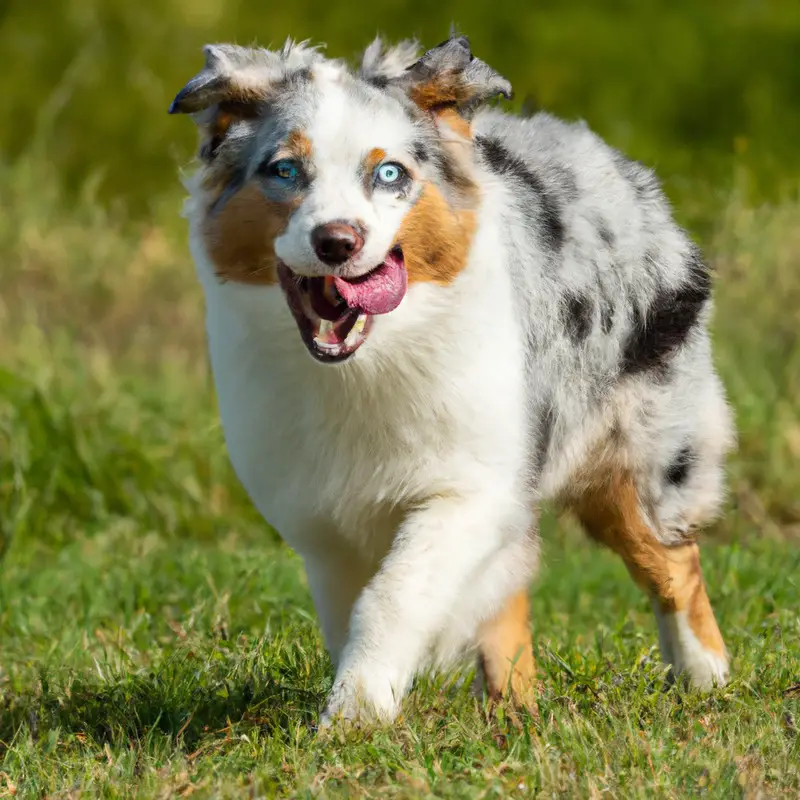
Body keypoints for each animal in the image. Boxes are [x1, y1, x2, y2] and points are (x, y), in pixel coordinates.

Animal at [170, 34, 736, 724]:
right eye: (284, 170)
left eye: (389, 174)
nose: (336, 241)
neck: (367, 367)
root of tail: (618, 166)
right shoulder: (322, 517)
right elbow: (352, 610)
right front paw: (364, 699)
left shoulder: (470, 484)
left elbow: (396, 593)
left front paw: (355, 717)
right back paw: (513, 713)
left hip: (637, 456)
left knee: (671, 560)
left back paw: (706, 676)